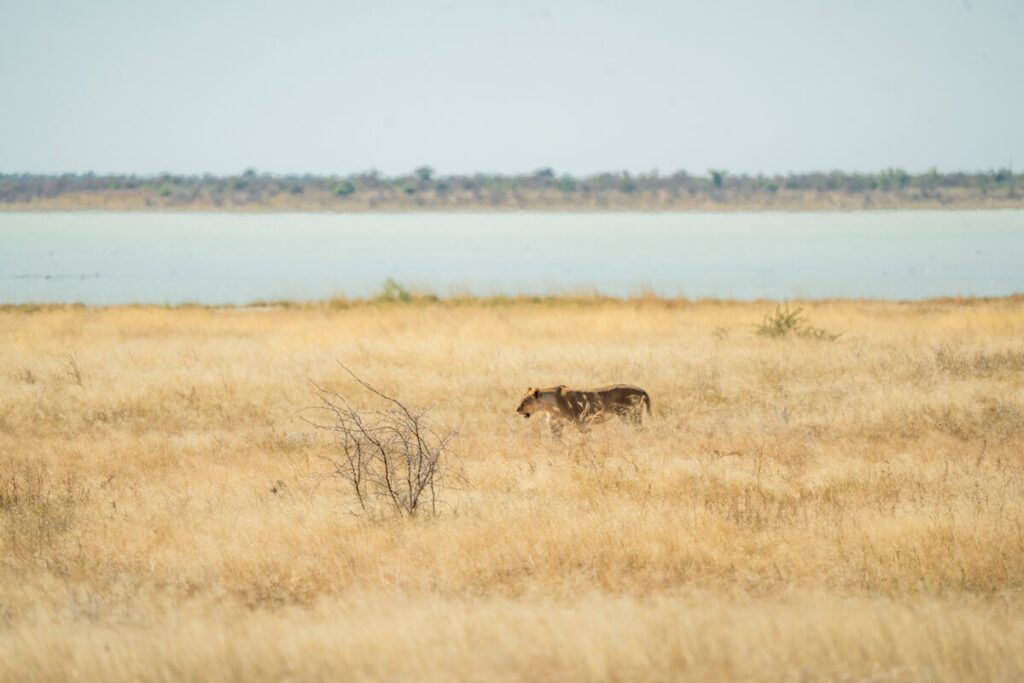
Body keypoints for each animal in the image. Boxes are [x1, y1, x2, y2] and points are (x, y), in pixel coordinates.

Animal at [516, 384, 652, 434]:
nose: (517, 409)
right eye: (521, 400)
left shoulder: (581, 422)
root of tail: (641, 389)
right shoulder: (555, 424)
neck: (548, 406)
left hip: (630, 416)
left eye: (525, 401)